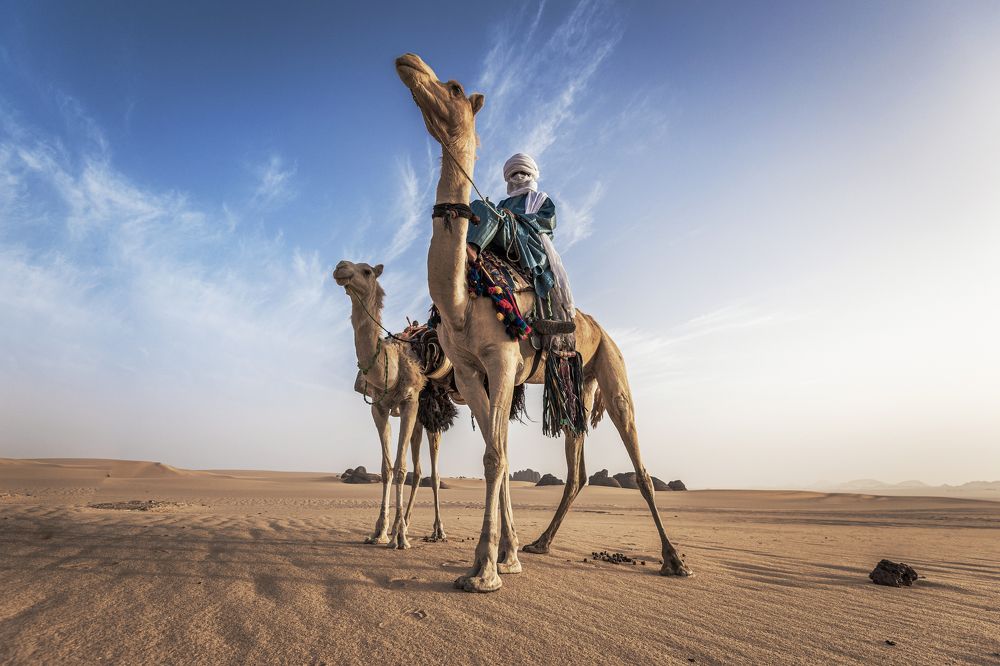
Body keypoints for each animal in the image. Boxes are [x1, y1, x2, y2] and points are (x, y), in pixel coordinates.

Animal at [332, 259, 448, 549]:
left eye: (366, 271)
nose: (340, 267)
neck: (390, 367)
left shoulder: (408, 403)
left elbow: (401, 468)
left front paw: (401, 538)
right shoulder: (379, 407)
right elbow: (387, 468)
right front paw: (380, 531)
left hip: (431, 417)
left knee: (434, 473)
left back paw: (436, 531)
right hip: (418, 419)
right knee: (419, 469)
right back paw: (403, 523)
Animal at [395, 53, 692, 592]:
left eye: (453, 86)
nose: (410, 63)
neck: (461, 298)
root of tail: (602, 330)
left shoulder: (502, 359)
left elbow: (495, 456)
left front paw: (485, 571)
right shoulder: (470, 370)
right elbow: (499, 453)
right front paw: (507, 555)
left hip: (614, 371)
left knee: (638, 464)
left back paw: (674, 559)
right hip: (577, 386)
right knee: (576, 471)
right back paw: (540, 543)